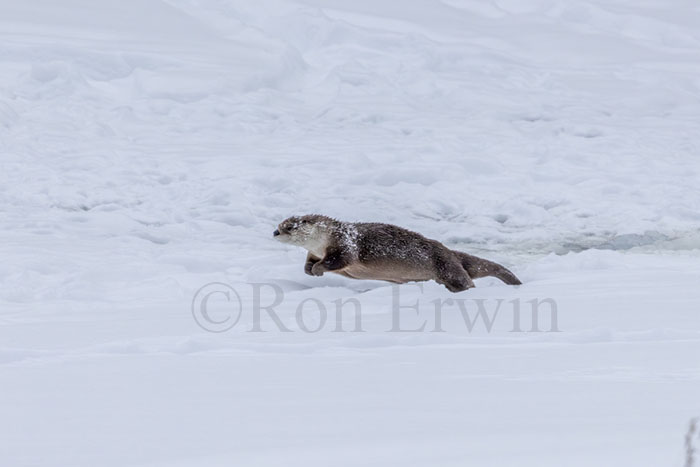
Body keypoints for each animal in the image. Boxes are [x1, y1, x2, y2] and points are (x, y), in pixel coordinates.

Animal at [273, 215, 521, 292]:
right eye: (279, 224)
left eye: (289, 226)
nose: (275, 232)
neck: (324, 240)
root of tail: (450, 252)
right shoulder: (315, 251)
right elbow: (310, 260)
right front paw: (308, 269)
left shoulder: (345, 244)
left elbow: (339, 260)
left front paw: (318, 269)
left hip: (448, 267)